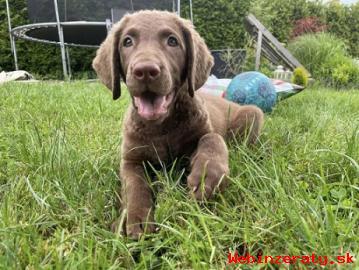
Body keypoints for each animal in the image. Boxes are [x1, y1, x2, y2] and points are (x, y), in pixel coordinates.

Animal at [93, 10, 264, 238]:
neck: (161, 127)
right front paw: (134, 217)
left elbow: (212, 139)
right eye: (127, 42)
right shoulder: (131, 158)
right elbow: (134, 184)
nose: (145, 70)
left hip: (253, 113)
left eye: (172, 41)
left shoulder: (204, 130)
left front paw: (206, 178)